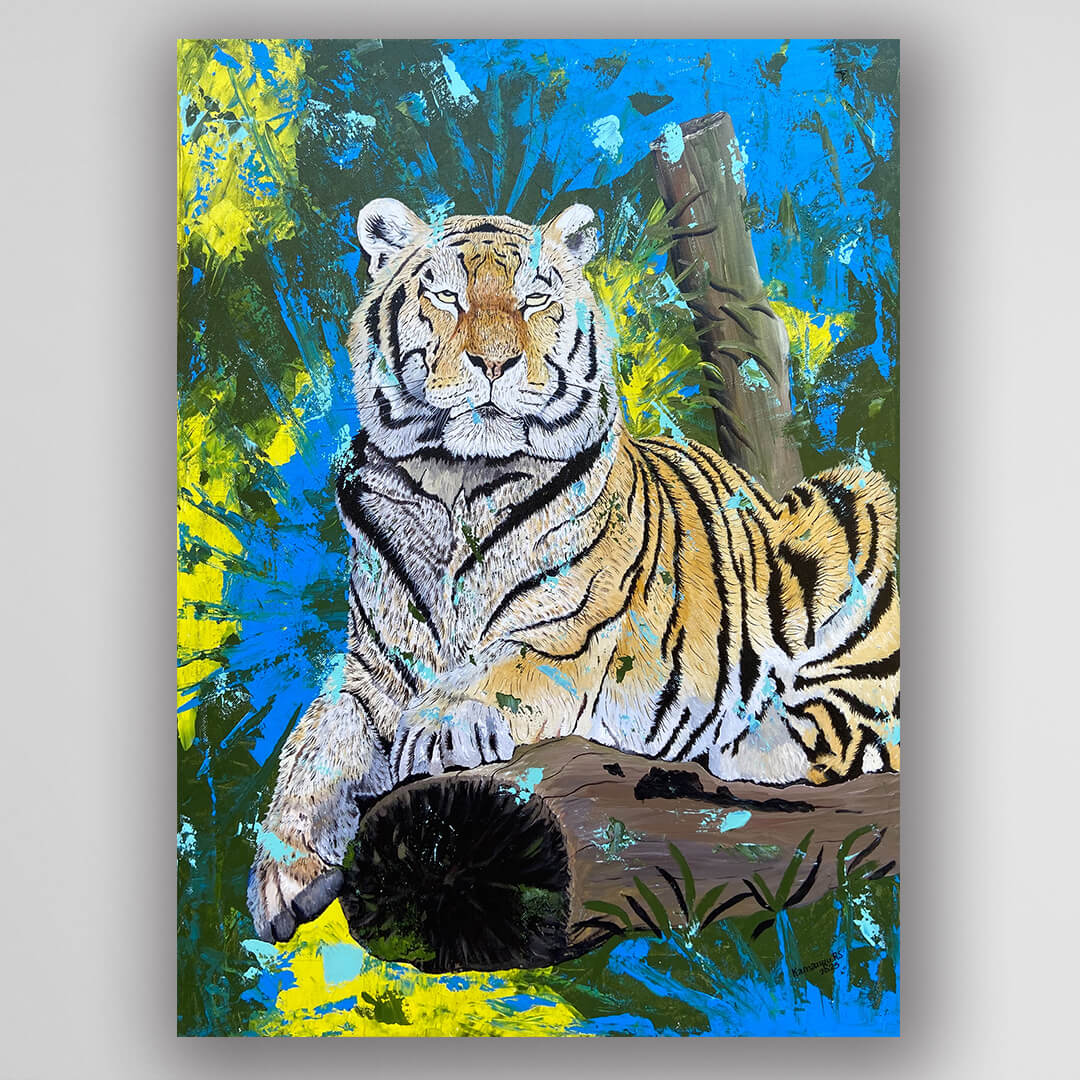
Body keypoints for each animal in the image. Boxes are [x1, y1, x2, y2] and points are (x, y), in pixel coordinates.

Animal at [247, 198, 900, 943]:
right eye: (447, 294)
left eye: (535, 298)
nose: (494, 362)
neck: (454, 484)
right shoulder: (373, 672)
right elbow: (317, 738)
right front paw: (281, 871)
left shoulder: (565, 636)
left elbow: (496, 672)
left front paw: (439, 726)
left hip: (855, 499)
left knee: (856, 731)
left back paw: (757, 738)